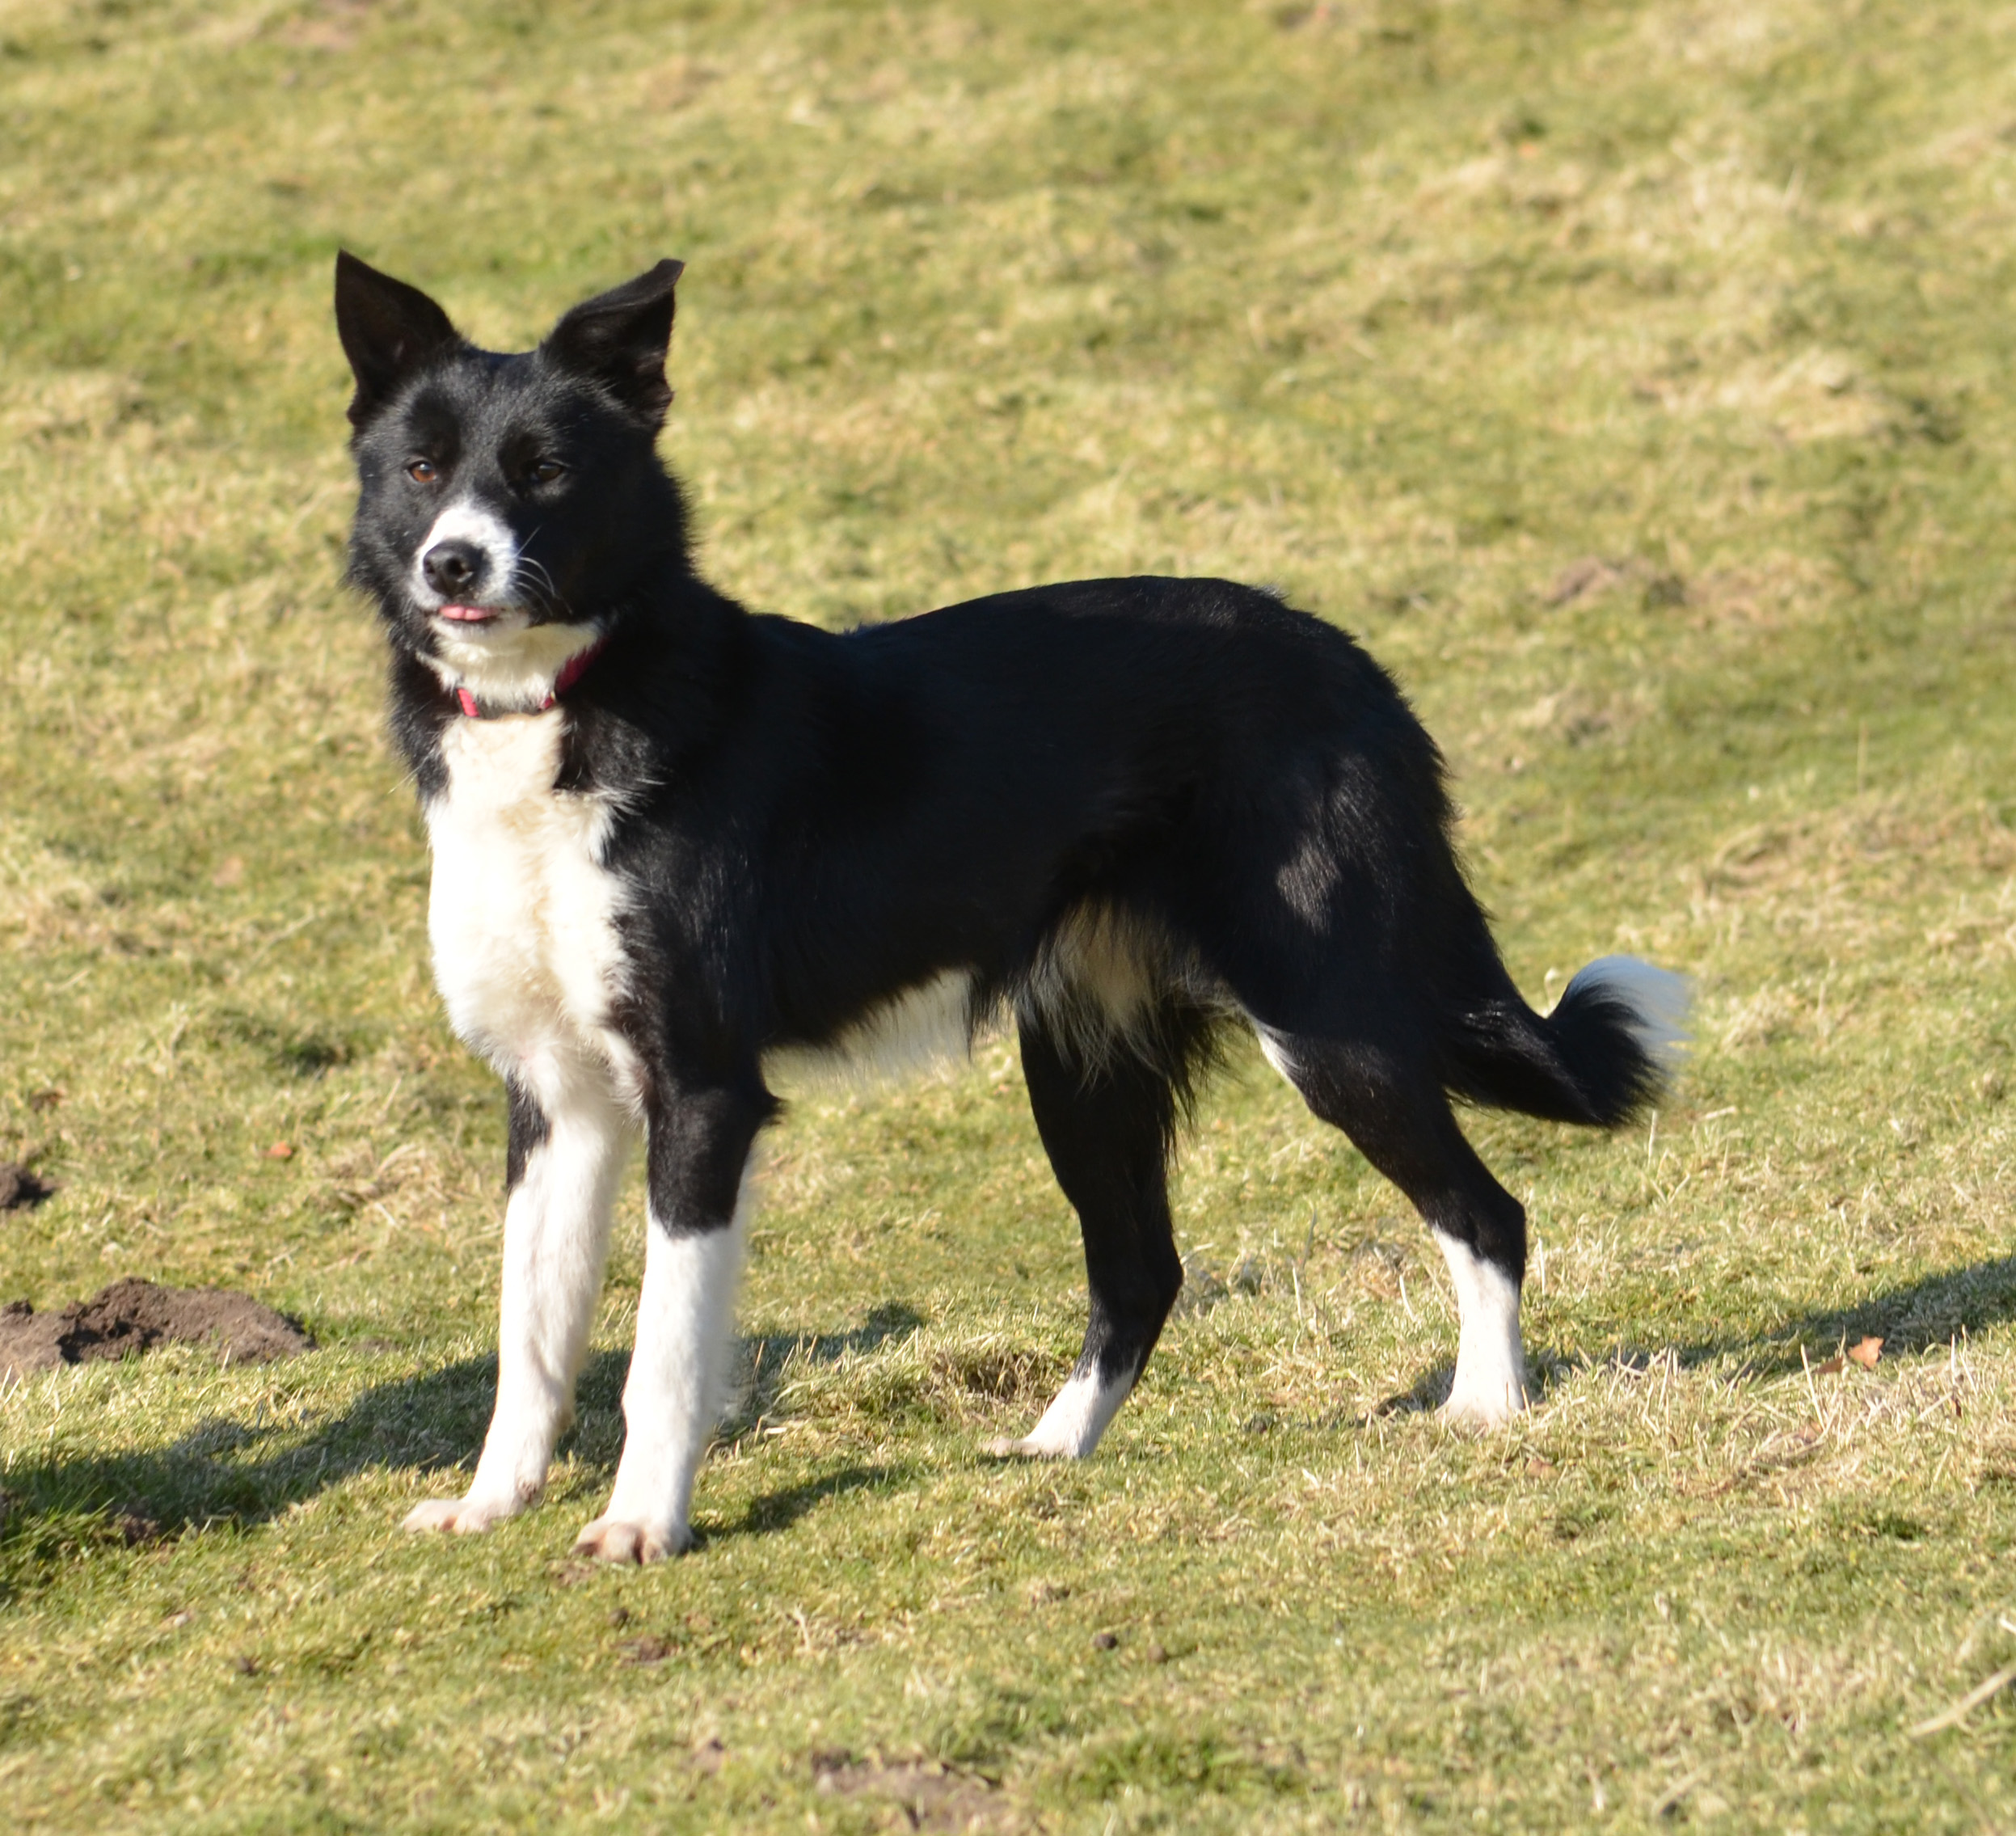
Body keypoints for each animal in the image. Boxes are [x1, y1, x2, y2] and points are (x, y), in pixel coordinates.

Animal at [335, 255, 1685, 1564]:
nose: (451, 562)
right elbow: (531, 1332)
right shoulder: (557, 1097)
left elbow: (663, 1346)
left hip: (1326, 1021)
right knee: (1141, 1269)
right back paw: (1051, 1446)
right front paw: (491, 1503)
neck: (564, 695)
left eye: (545, 471)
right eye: (421, 468)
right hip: (1081, 1057)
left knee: (1484, 1210)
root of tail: (1345, 658)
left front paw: (640, 1525)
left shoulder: (704, 1091)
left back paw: (1488, 1405)